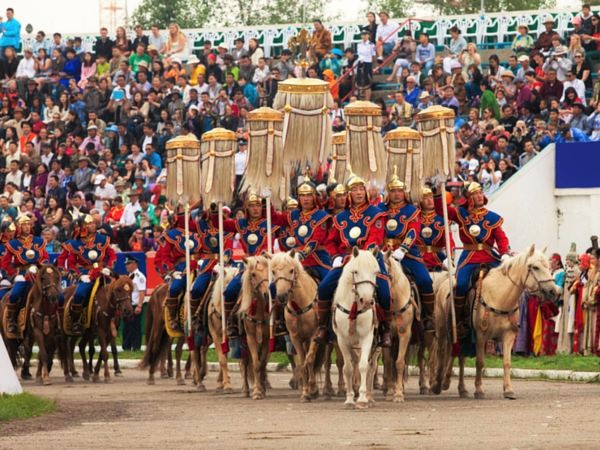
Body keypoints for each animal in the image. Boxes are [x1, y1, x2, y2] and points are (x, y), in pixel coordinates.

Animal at [270, 251, 326, 402]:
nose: (281, 296)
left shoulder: (314, 335)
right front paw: (306, 392)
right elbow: (302, 361)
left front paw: (313, 389)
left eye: (291, 270)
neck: (299, 305)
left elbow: (310, 359)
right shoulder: (295, 338)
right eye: (273, 271)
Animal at [332, 248, 380, 410]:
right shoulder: (342, 340)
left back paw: (370, 397)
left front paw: (363, 399)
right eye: (356, 271)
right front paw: (349, 399)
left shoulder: (367, 337)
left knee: (372, 366)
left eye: (376, 272)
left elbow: (364, 366)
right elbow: (348, 368)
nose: (367, 301)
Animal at [464, 244, 556, 400]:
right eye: (535, 267)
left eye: (548, 266)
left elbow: (507, 363)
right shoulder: (481, 336)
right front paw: (479, 390)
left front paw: (508, 390)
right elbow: (479, 362)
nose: (553, 291)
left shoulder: (508, 336)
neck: (499, 297)